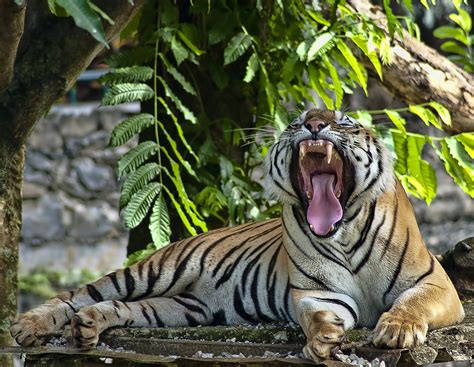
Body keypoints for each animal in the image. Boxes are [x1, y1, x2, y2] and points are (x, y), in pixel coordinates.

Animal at [11, 108, 462, 362]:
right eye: (297, 121)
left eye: (342, 120)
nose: (314, 123)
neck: (343, 231)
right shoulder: (317, 291)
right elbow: (316, 313)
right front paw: (323, 338)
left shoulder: (436, 284)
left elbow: (411, 304)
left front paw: (396, 330)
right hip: (154, 271)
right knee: (77, 294)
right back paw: (28, 326)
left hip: (185, 308)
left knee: (121, 307)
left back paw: (87, 326)